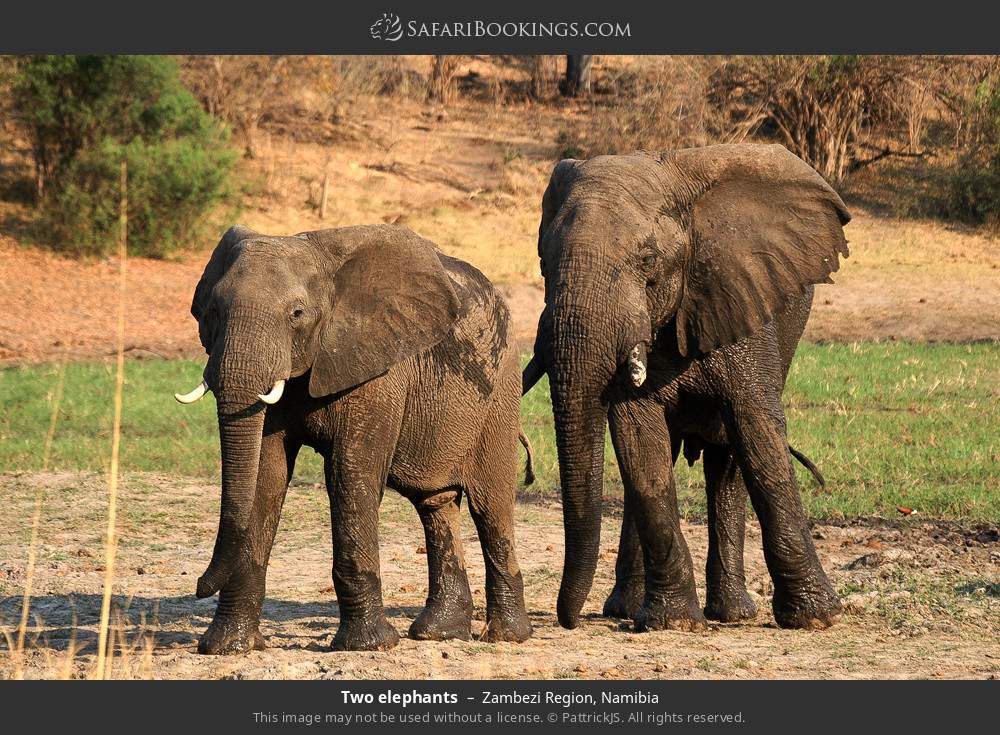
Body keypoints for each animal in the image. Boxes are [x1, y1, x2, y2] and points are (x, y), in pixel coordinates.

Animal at [174, 224, 533, 654]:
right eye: (211, 311)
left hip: (501, 392)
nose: (198, 586)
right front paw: (227, 647)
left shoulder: (377, 370)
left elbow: (350, 475)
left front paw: (368, 645)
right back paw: (437, 633)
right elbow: (264, 477)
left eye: (297, 314)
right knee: (436, 504)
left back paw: (506, 637)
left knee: (490, 505)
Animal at [521, 144, 850, 633]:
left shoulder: (739, 298)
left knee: (727, 462)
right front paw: (672, 622)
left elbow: (759, 436)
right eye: (544, 262)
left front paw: (817, 618)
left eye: (648, 261)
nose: (568, 621)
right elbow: (641, 447)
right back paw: (627, 609)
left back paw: (732, 613)